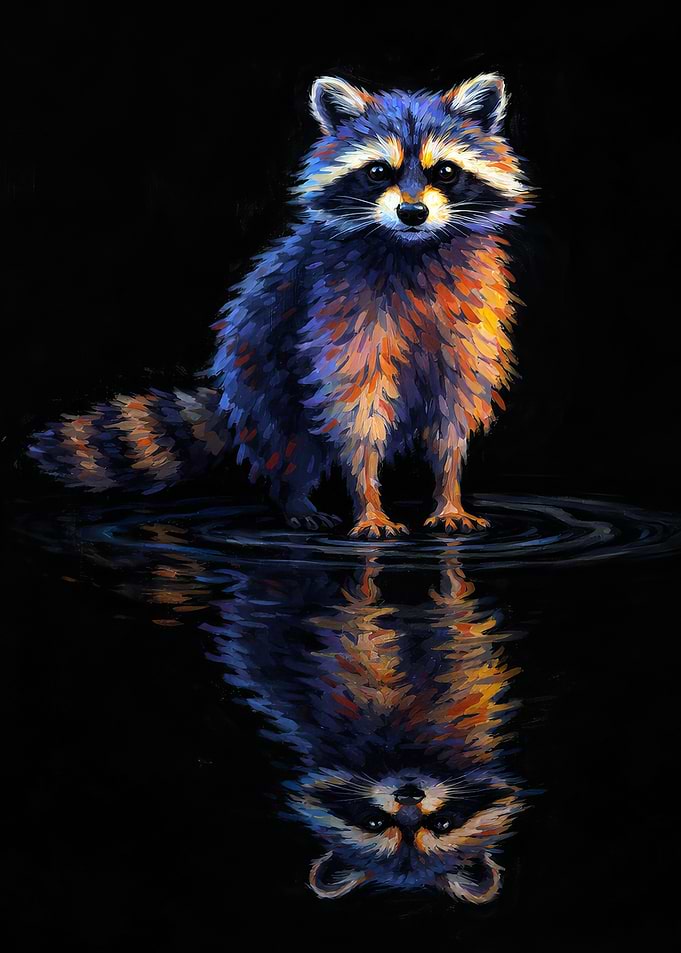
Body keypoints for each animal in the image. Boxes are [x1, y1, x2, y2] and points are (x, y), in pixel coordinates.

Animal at [30, 74, 530, 537]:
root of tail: (229, 395)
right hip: (263, 376)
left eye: (444, 171)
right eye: (377, 172)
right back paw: (294, 499)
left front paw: (449, 494)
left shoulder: (471, 320)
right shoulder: (338, 317)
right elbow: (356, 414)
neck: (411, 248)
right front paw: (367, 501)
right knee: (288, 442)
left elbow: (453, 416)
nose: (412, 213)